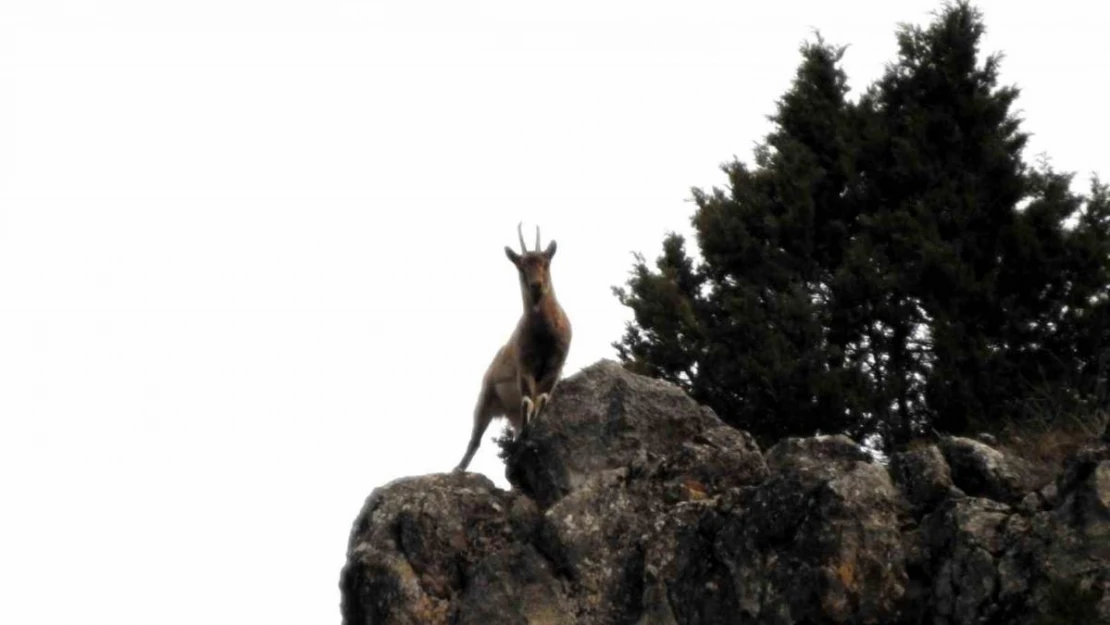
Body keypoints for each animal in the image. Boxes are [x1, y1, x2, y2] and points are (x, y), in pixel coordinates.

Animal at [452, 222, 572, 472]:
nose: (536, 286)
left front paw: (531, 435)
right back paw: (459, 468)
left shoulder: (554, 368)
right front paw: (527, 438)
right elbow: (528, 400)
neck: (544, 336)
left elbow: (540, 401)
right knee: (475, 439)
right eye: (521, 267)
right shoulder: (524, 367)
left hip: (511, 411)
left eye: (546, 263)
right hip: (486, 397)